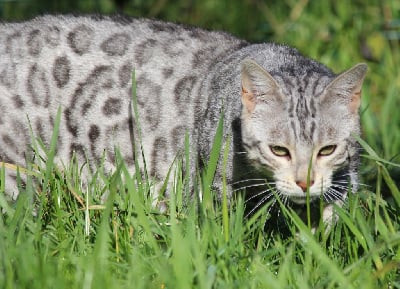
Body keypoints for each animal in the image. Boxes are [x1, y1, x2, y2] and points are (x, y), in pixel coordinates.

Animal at [0, 13, 368, 224]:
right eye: (279, 150)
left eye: (327, 149)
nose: (305, 182)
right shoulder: (215, 187)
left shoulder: (345, 179)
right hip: (17, 173)